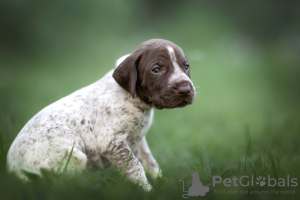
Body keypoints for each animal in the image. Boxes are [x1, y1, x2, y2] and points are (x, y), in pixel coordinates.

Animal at [7, 38, 196, 190]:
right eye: (156, 70)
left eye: (186, 67)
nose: (186, 89)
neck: (135, 100)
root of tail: (11, 172)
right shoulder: (111, 142)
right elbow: (135, 166)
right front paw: (146, 190)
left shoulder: (138, 139)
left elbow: (150, 163)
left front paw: (162, 184)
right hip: (70, 144)